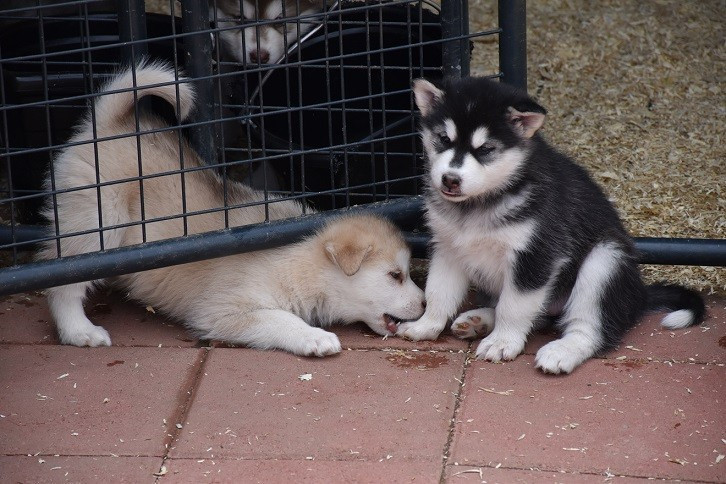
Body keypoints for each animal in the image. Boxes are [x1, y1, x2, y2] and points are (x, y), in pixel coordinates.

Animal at [38, 62, 426, 356]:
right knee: (62, 283)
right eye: (396, 275)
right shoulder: (224, 311)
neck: (304, 261)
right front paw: (315, 337)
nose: (425, 304)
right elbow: (279, 319)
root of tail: (110, 125)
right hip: (98, 223)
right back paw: (80, 331)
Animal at [398, 77, 704, 376]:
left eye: (485, 150)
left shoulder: (537, 254)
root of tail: (639, 295)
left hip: (605, 260)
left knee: (587, 326)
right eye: (443, 139)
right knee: (539, 314)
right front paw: (426, 325)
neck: (481, 203)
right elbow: (438, 292)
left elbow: (514, 306)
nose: (450, 179)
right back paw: (479, 320)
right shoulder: (448, 247)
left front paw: (502, 342)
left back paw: (561, 351)